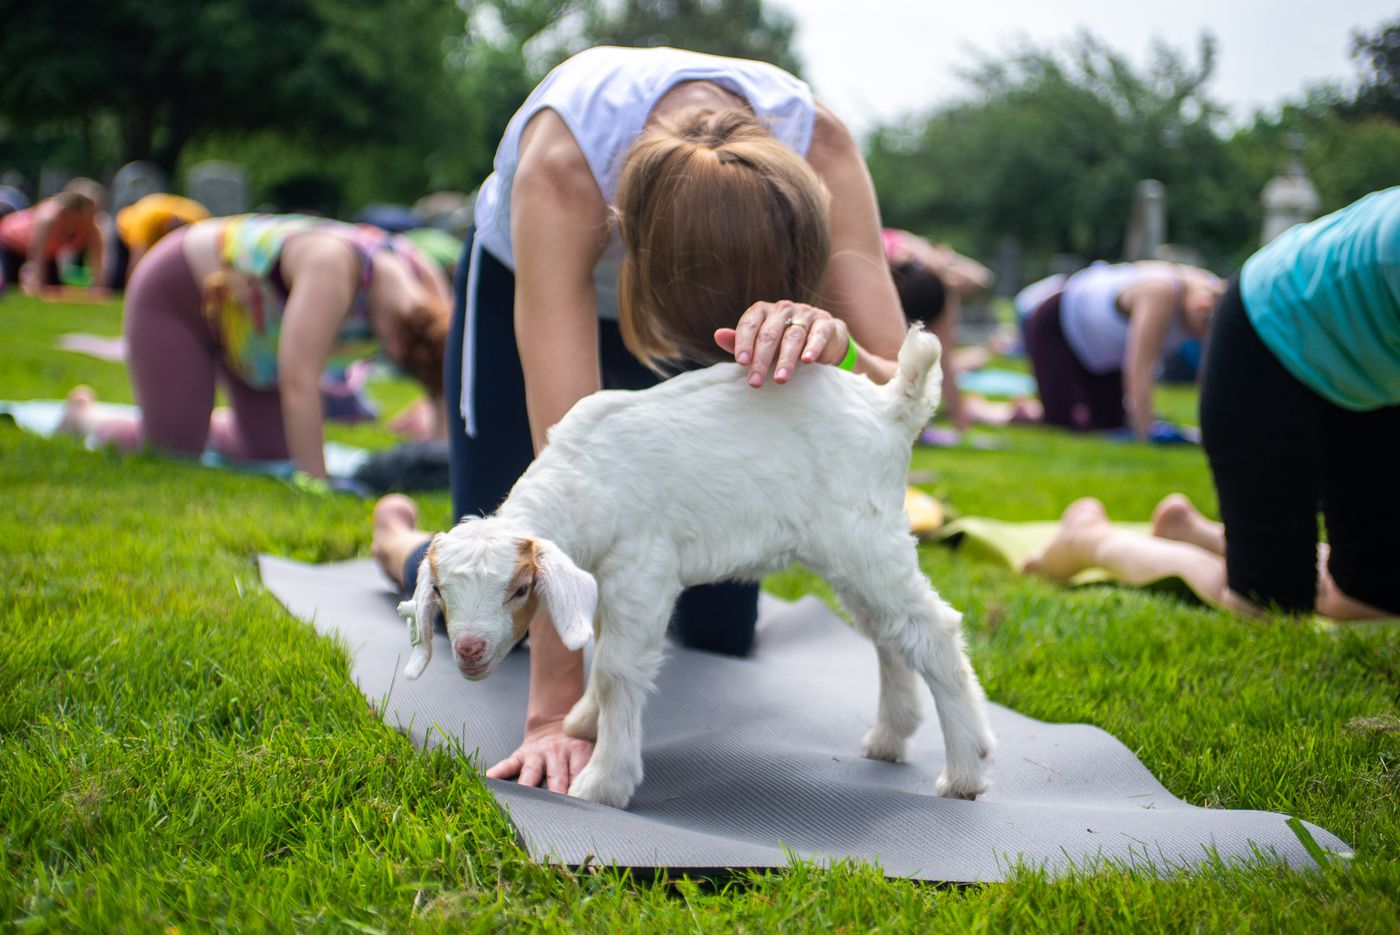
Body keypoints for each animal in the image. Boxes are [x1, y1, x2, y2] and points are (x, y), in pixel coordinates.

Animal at [400, 324, 1002, 806]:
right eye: (442, 593)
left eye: (521, 589)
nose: (469, 649)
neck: (585, 478)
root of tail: (890, 409)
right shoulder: (606, 581)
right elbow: (603, 648)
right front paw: (583, 719)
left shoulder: (644, 571)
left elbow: (617, 669)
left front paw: (603, 782)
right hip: (853, 554)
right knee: (888, 633)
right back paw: (890, 737)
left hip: (866, 539)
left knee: (932, 631)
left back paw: (965, 772)